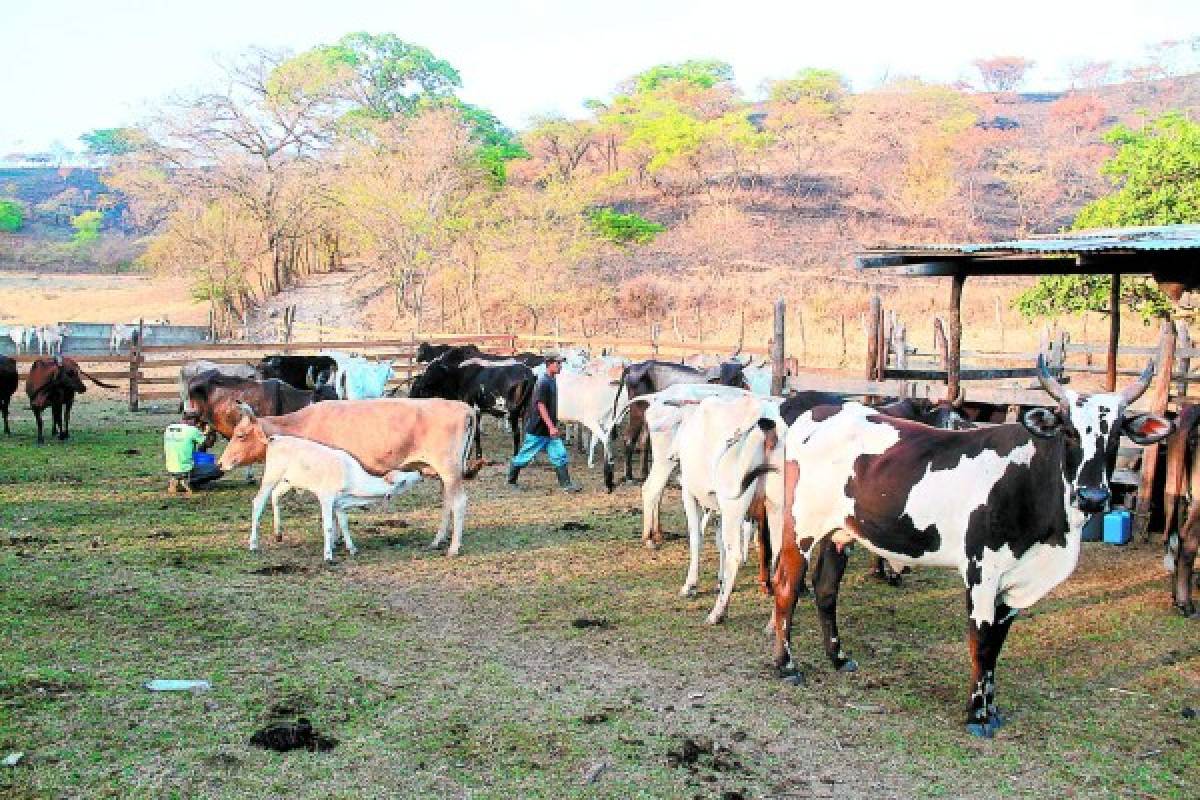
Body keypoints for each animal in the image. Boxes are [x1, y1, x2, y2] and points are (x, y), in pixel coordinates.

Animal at [248, 434, 422, 561]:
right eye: (403, 481)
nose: (420, 473)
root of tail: (274, 438)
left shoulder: (339, 502)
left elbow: (344, 523)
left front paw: (351, 548)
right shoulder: (326, 497)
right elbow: (328, 526)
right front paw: (328, 555)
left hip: (288, 481)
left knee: (275, 495)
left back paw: (278, 533)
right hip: (271, 475)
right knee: (258, 502)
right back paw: (253, 544)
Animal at [768, 362, 1171, 738]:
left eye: (1116, 434)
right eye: (1069, 431)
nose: (1094, 497)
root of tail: (822, 411)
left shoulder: (1013, 583)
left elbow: (996, 645)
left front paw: (991, 709)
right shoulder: (982, 571)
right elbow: (980, 641)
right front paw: (976, 715)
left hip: (840, 533)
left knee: (826, 591)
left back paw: (838, 658)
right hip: (800, 528)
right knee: (787, 587)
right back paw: (785, 665)